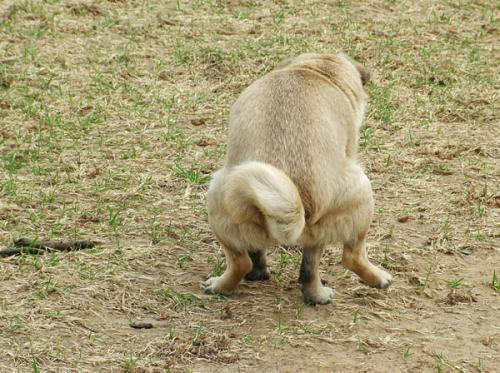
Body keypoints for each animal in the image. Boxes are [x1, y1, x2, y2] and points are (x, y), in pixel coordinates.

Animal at [205, 51, 392, 302]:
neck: (318, 72)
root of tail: (298, 203)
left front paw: (259, 273)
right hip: (363, 195)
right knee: (351, 256)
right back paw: (378, 279)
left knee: (263, 264)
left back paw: (314, 295)